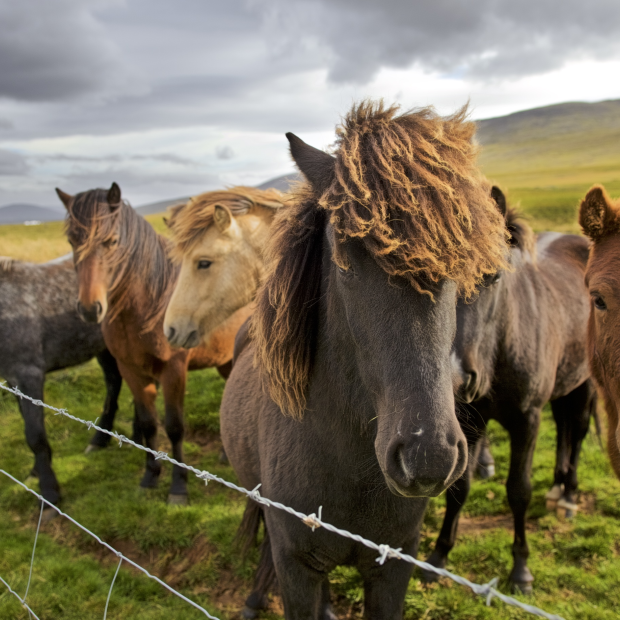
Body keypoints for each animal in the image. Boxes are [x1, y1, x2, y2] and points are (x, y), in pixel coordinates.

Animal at [0, 254, 122, 506]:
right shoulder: (13, 380)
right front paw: (36, 472)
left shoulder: (29, 375)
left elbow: (35, 434)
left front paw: (49, 494)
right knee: (115, 383)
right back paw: (101, 439)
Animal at [57, 184, 252, 504]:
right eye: (72, 240)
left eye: (111, 241)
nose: (89, 308)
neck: (145, 306)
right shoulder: (131, 370)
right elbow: (149, 424)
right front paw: (150, 476)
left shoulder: (173, 370)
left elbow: (174, 427)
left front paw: (178, 487)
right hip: (225, 359)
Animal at [424, 188, 592, 592]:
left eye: (493, 276)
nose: (454, 378)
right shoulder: (469, 420)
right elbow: (459, 488)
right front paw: (438, 556)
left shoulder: (527, 420)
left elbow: (519, 491)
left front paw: (521, 570)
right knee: (564, 427)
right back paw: (558, 487)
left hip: (586, 381)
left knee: (578, 430)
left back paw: (569, 496)